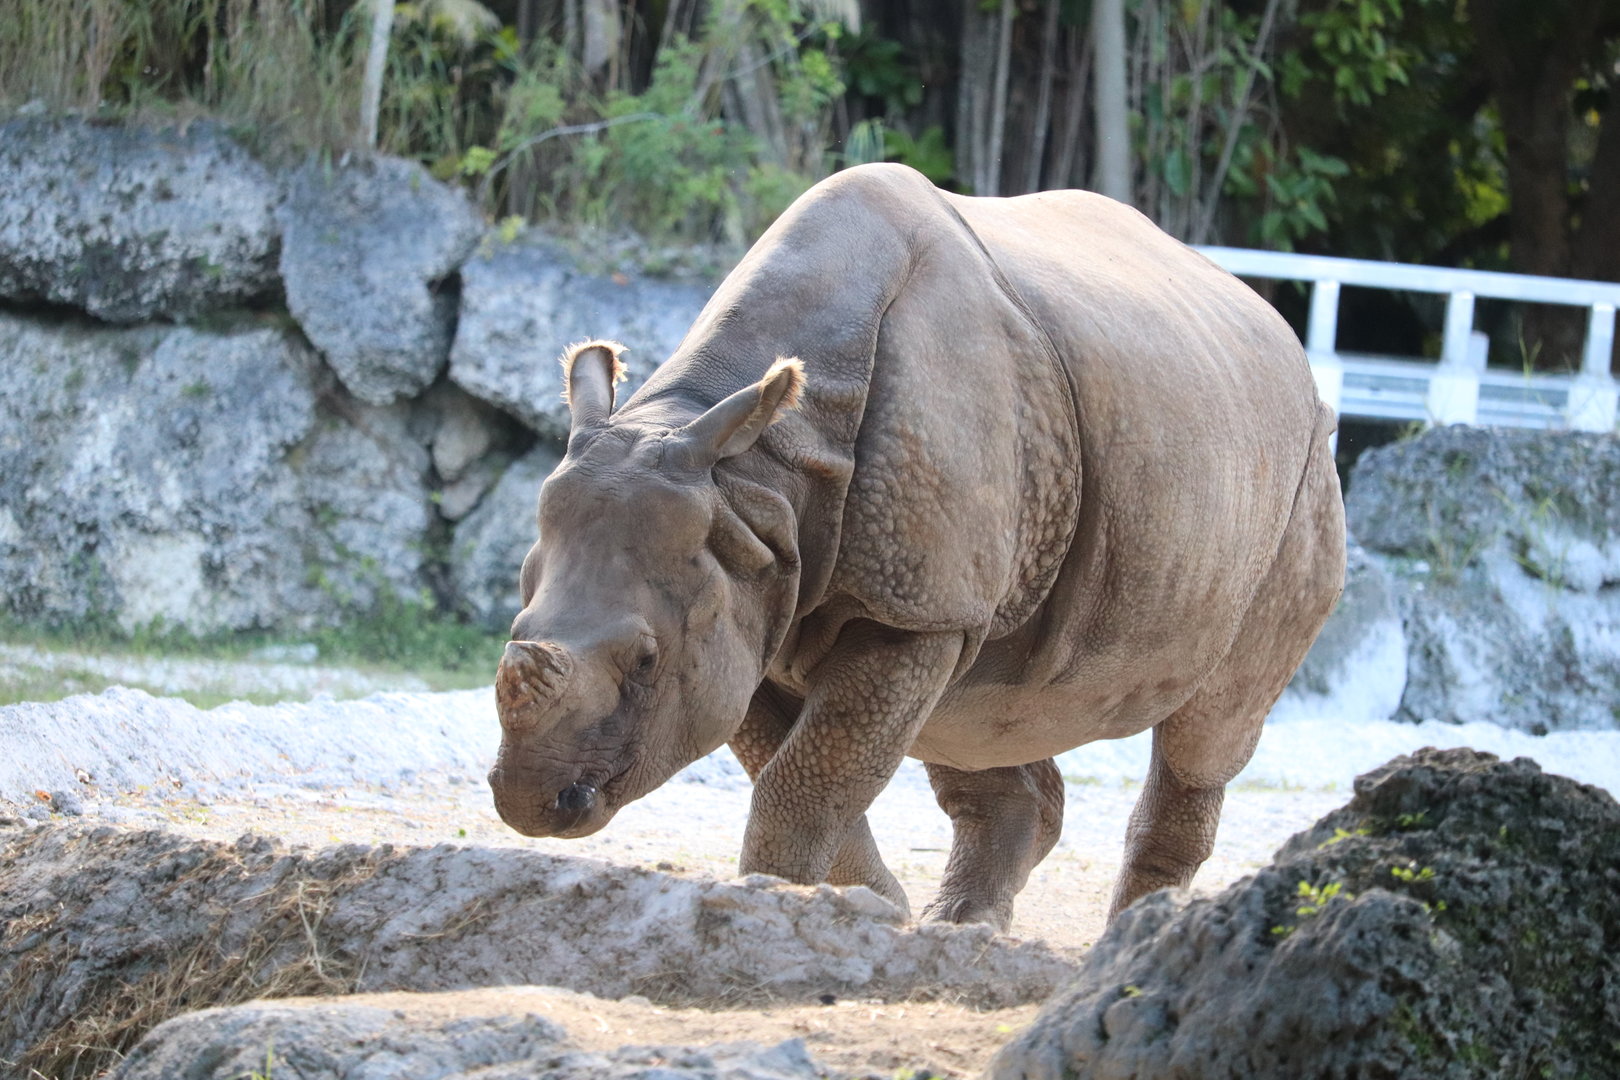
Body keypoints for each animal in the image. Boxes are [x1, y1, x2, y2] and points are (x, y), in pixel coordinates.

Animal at [489, 163, 1345, 928]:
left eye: (644, 661)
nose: (532, 803)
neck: (755, 472)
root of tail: (1285, 339)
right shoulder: (752, 585)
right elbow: (795, 764)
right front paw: (872, 910)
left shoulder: (900, 605)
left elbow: (805, 780)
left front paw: (778, 906)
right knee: (978, 709)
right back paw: (961, 928)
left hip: (1300, 475)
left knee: (1208, 730)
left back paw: (1132, 940)